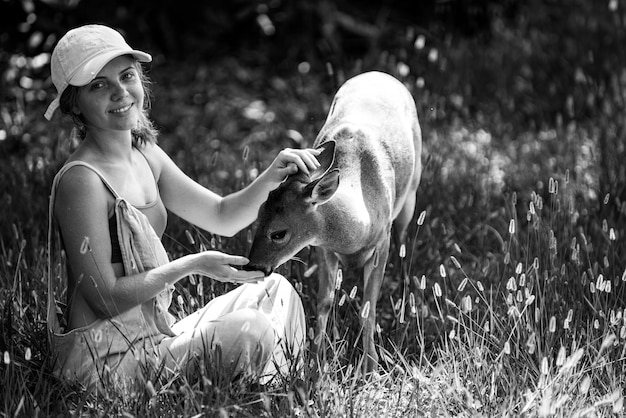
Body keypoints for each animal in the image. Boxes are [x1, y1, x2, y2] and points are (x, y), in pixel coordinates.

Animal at [243, 70, 420, 374]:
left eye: (279, 233)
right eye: (258, 215)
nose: (254, 265)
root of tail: (380, 74)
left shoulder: (381, 242)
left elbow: (369, 307)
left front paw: (370, 367)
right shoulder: (323, 248)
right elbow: (324, 302)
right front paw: (315, 363)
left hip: (411, 194)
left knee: (404, 245)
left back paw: (404, 308)